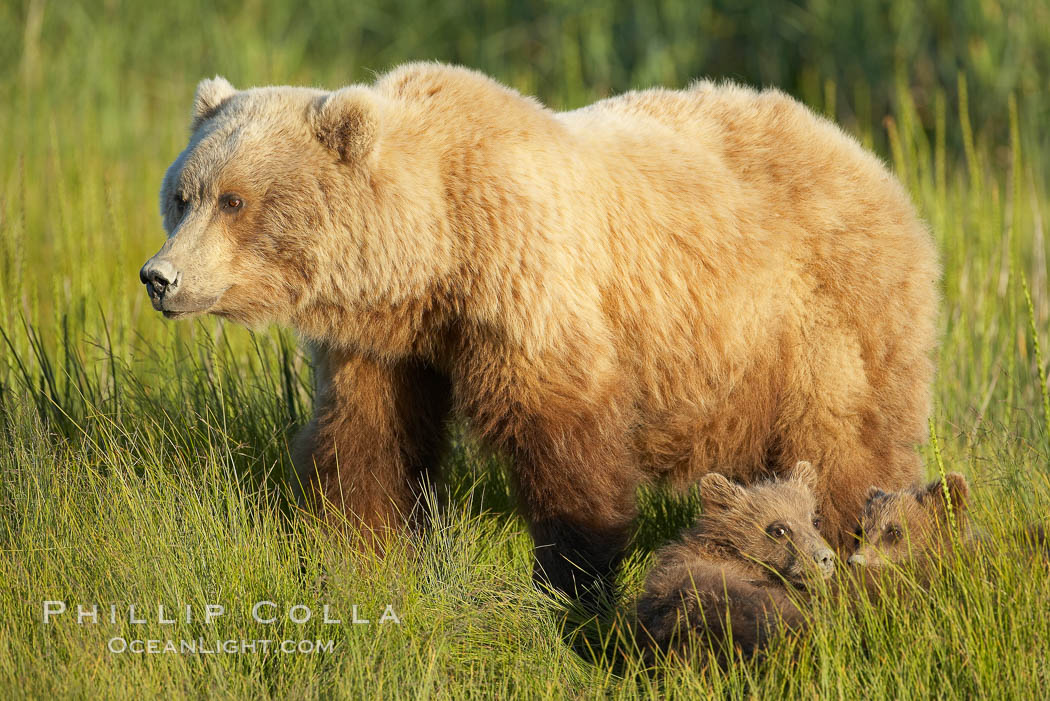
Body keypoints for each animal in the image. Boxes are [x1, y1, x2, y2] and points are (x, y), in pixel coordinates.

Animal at [139, 61, 936, 604]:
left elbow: (566, 446)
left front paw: (574, 579)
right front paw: (360, 554)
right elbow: (367, 440)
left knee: (846, 445)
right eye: (182, 194)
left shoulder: (531, 288)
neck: (435, 256)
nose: (159, 277)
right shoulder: (389, 344)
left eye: (235, 199)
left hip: (821, 317)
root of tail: (872, 162)